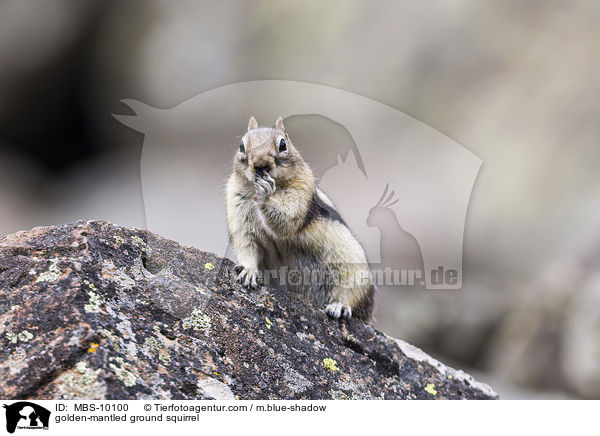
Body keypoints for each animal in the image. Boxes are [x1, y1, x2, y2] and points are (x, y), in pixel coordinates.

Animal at [226, 116, 376, 320]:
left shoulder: (302, 190)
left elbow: (287, 219)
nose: (261, 164)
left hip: (354, 269)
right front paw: (248, 272)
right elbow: (246, 243)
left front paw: (266, 194)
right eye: (242, 145)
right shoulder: (237, 207)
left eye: (283, 144)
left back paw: (339, 306)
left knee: (350, 292)